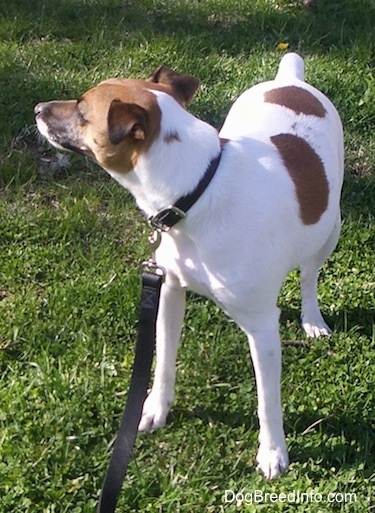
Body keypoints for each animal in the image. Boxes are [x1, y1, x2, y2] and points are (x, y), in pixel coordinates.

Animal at [34, 54, 344, 478]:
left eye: (82, 110)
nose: (37, 109)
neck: (198, 191)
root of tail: (291, 79)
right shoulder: (169, 290)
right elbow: (163, 359)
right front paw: (154, 409)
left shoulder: (262, 326)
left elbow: (268, 402)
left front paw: (272, 452)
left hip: (329, 230)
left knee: (310, 275)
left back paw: (312, 319)